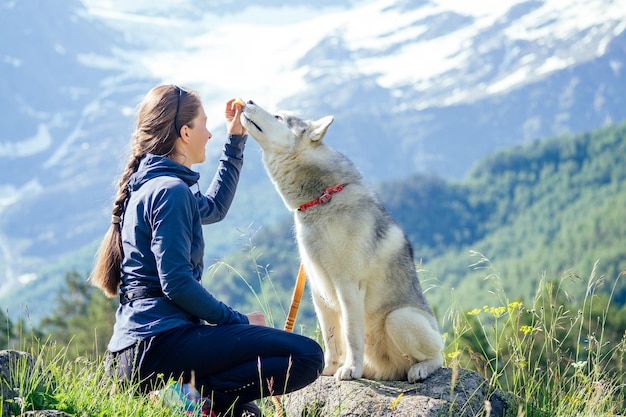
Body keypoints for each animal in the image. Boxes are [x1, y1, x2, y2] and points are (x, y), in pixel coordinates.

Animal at [240, 101, 444, 380]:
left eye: (278, 116)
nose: (247, 101)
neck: (322, 198)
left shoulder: (347, 285)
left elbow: (350, 333)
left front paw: (350, 369)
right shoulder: (318, 290)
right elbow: (332, 338)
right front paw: (328, 368)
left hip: (399, 318)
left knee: (438, 356)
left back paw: (421, 368)